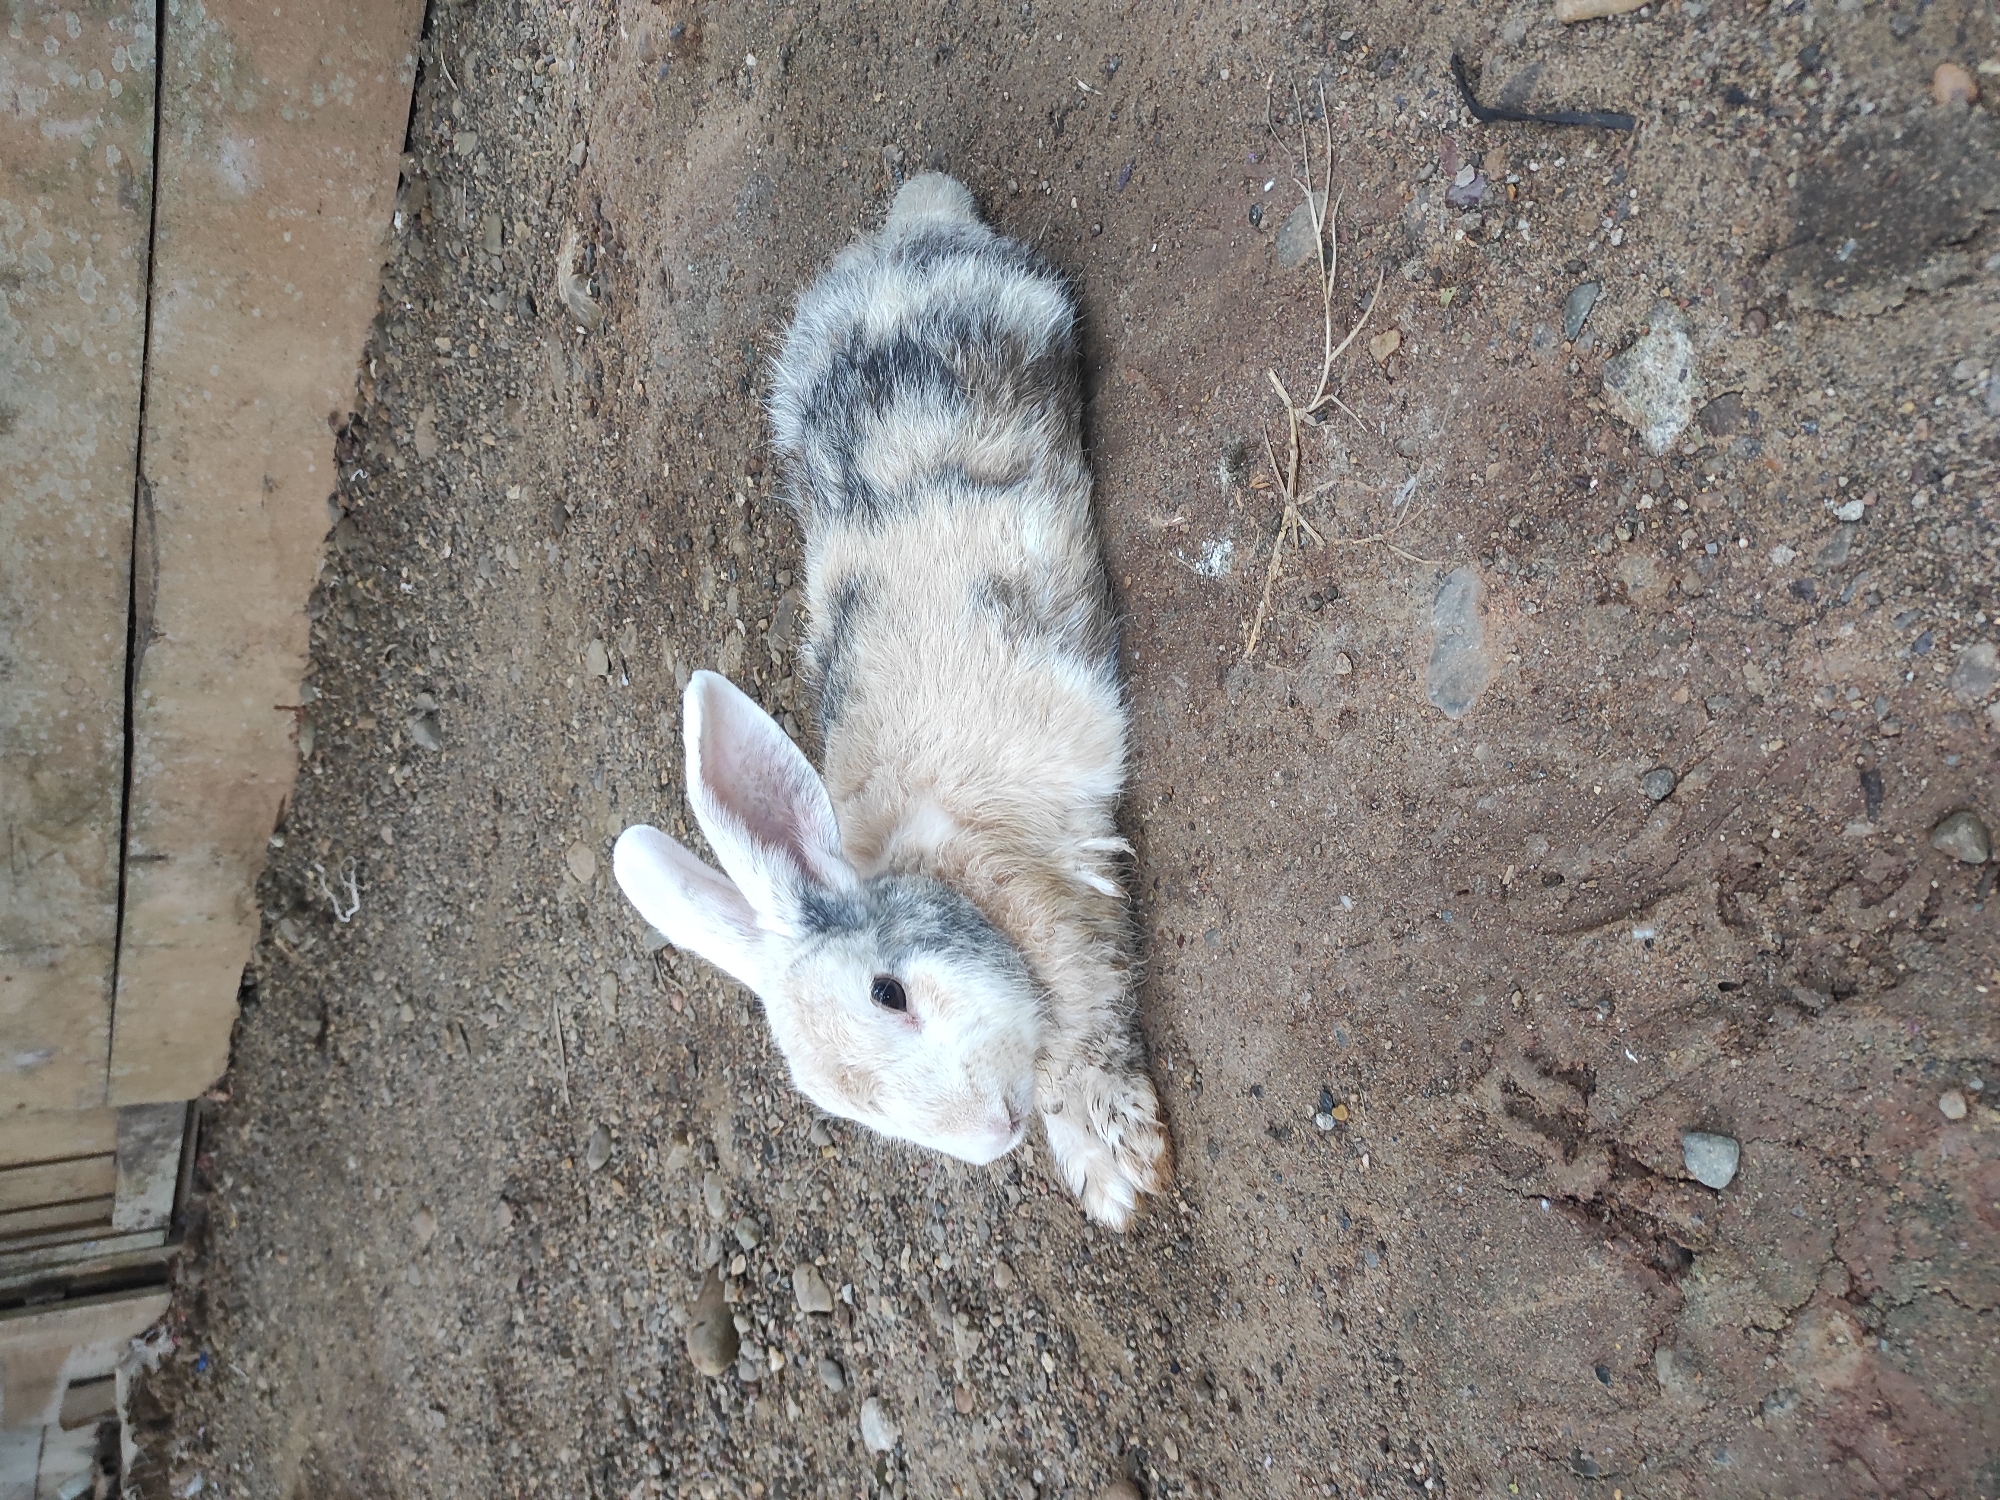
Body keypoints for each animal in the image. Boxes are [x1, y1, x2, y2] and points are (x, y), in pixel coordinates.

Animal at [612, 173, 1170, 1229]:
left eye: (890, 994)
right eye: (842, 1105)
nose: (991, 1132)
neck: (936, 873)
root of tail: (907, 236)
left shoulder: (1068, 933)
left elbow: (1087, 1044)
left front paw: (1119, 1175)